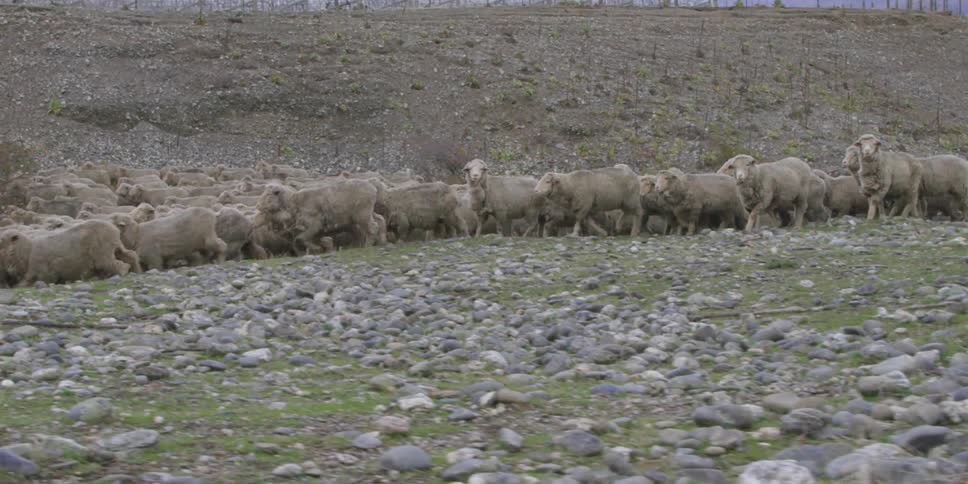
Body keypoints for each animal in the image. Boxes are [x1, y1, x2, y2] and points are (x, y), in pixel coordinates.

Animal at [0, 220, 140, 286]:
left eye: (1, 240)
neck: (27, 252)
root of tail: (114, 229)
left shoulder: (41, 272)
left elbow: (25, 284)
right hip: (114, 247)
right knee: (131, 255)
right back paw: (137, 270)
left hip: (102, 252)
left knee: (119, 264)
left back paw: (122, 272)